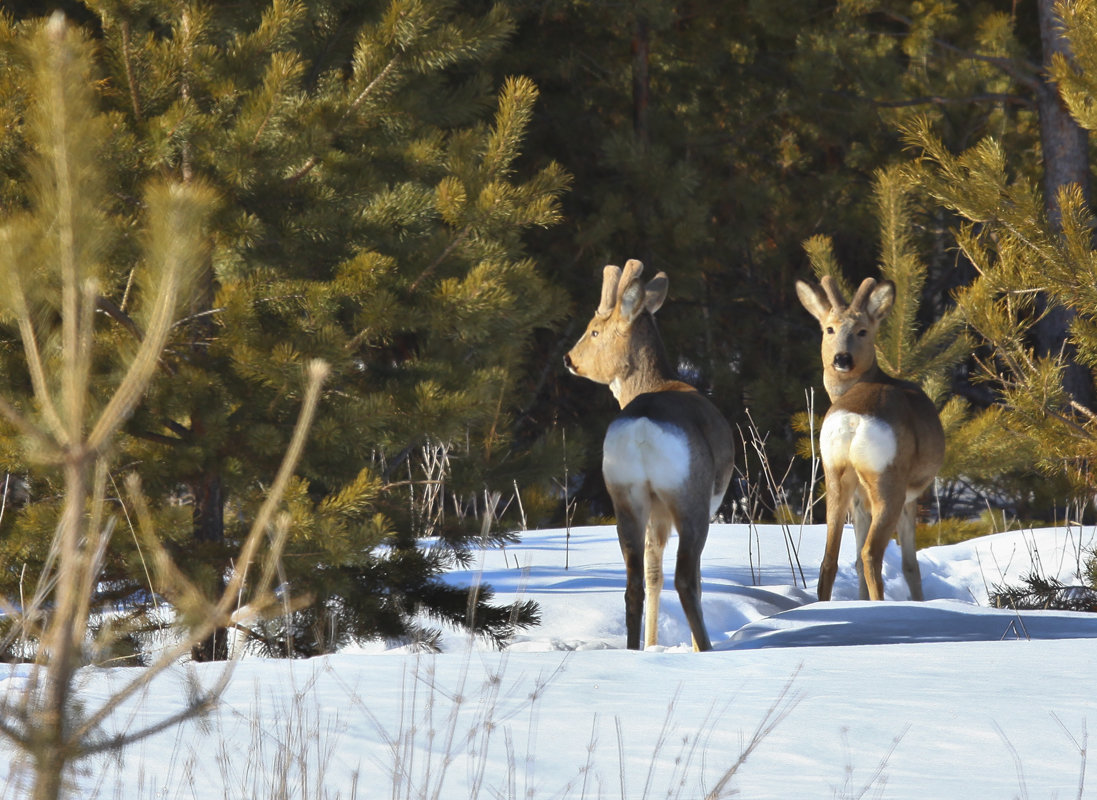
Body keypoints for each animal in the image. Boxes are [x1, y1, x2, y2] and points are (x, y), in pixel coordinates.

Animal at [561, 260, 732, 649]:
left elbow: (653, 575)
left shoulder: (652, 511)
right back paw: (705, 648)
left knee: (635, 583)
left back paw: (634, 647)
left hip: (626, 495)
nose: (569, 359)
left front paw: (652, 643)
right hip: (688, 495)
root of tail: (641, 427)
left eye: (594, 331)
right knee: (687, 579)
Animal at [794, 274, 947, 596]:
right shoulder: (912, 495)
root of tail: (854, 421)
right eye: (830, 329)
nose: (842, 358)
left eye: (862, 331)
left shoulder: (857, 501)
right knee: (870, 554)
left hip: (835, 475)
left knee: (830, 559)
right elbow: (910, 566)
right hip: (888, 480)